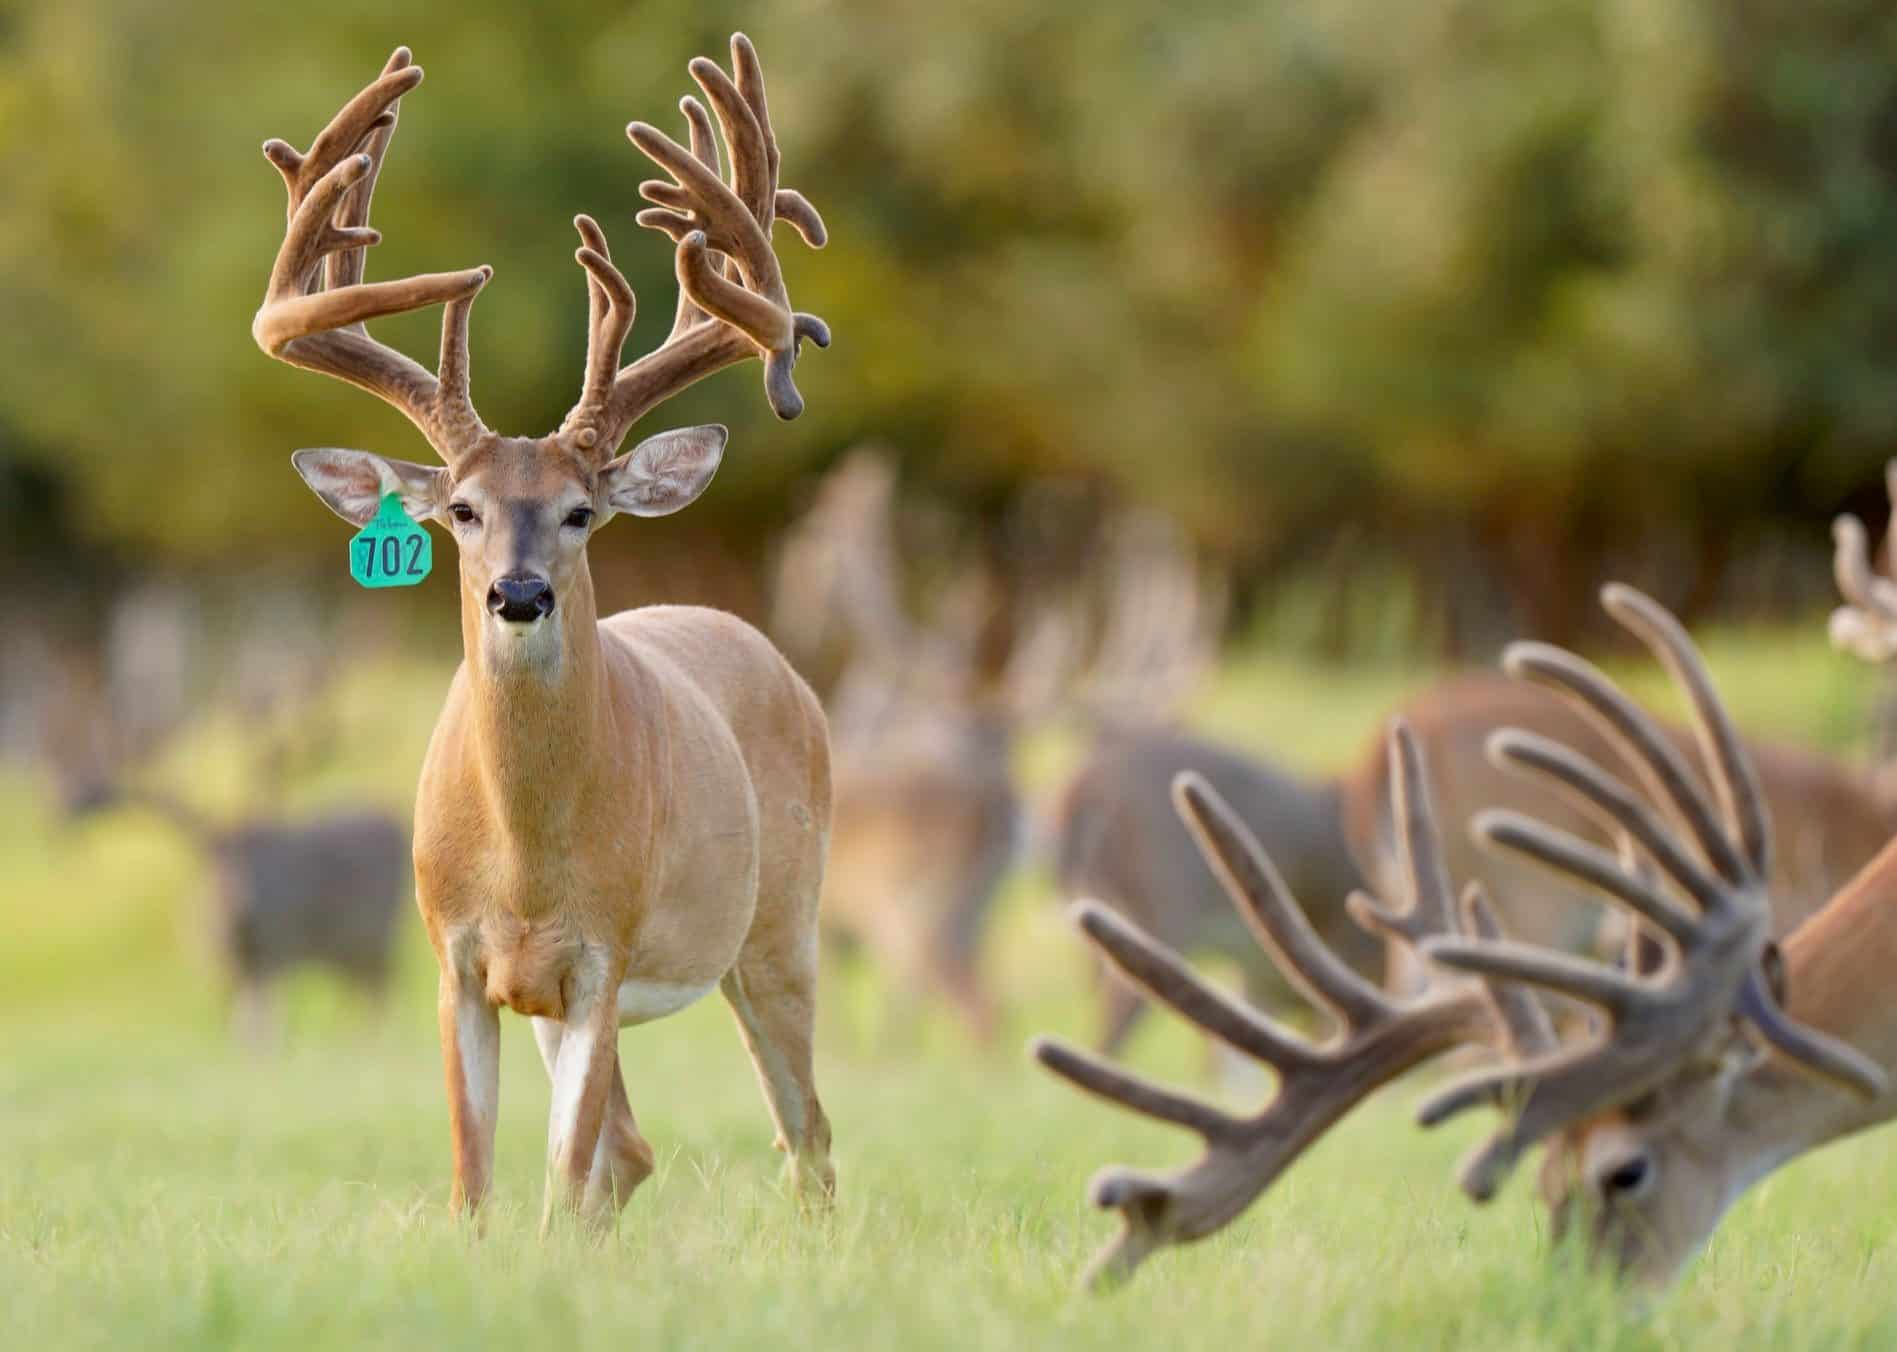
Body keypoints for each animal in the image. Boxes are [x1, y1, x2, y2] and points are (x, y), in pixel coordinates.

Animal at [256, 36, 836, 1227]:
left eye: (579, 511)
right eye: (461, 511)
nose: (519, 596)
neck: (526, 861)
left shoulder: (602, 958)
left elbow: (562, 1172)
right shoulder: (460, 962)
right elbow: (477, 1179)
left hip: (778, 930)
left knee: (805, 1135)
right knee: (640, 1150)